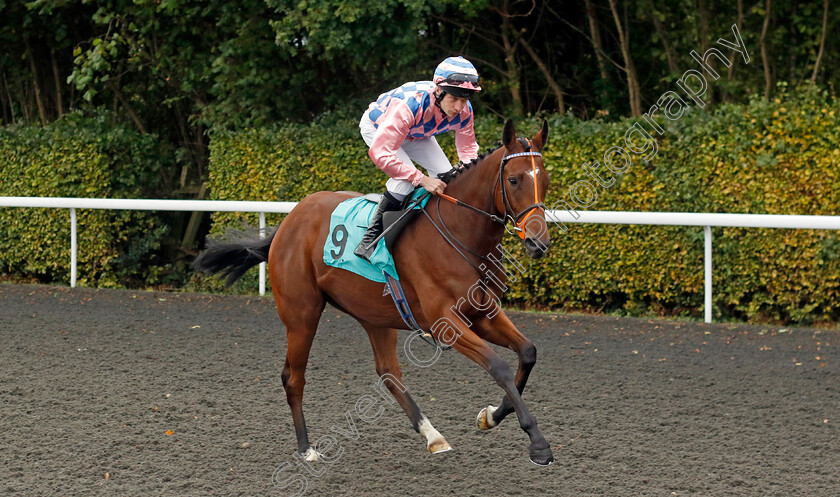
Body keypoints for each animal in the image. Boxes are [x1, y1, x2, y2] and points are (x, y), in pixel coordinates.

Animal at [194, 119, 556, 464]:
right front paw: (538, 443)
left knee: (388, 373)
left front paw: (491, 416)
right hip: (301, 315)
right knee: (293, 377)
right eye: (514, 180)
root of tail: (288, 222)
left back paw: (433, 436)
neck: (460, 233)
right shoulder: (446, 324)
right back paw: (306, 448)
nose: (537, 243)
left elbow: (528, 352)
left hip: (375, 314)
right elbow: (500, 367)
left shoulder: (484, 314)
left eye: (546, 179)